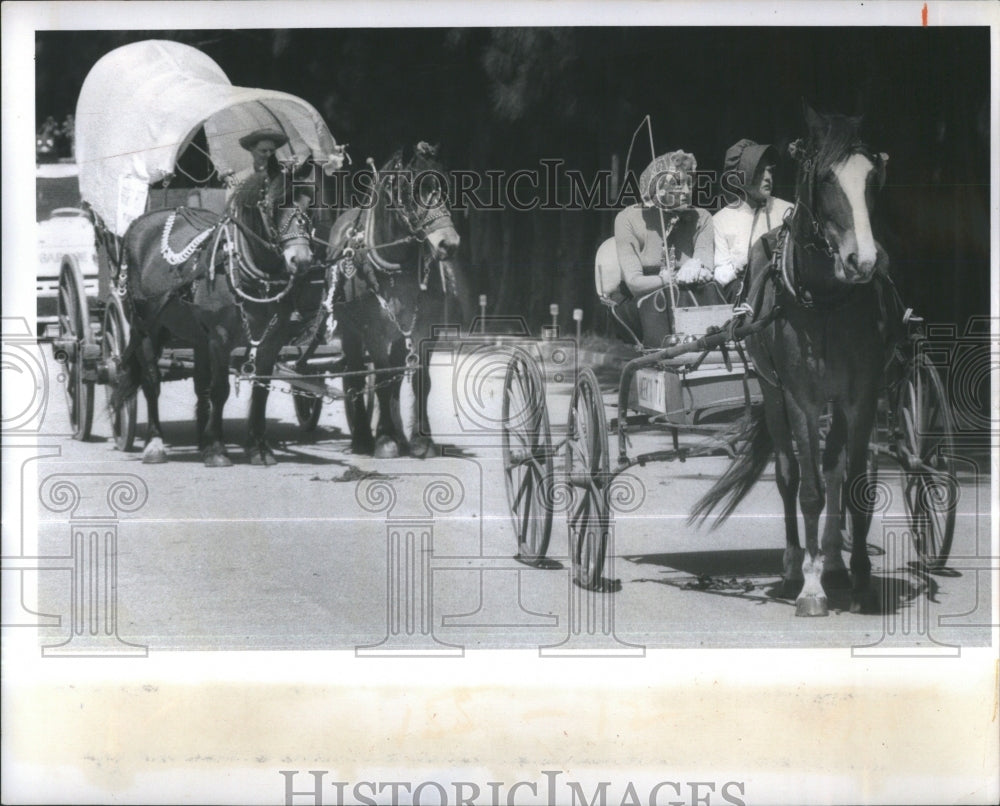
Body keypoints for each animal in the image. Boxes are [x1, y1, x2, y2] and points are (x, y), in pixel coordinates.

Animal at [110, 174, 314, 470]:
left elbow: (260, 390)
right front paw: (218, 449)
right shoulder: (220, 338)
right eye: (273, 205)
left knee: (199, 385)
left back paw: (201, 442)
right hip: (146, 328)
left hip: (196, 336)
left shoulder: (272, 341)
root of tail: (139, 223)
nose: (302, 259)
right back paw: (155, 443)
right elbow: (220, 390)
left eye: (311, 204)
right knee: (151, 381)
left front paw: (259, 448)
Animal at [332, 144, 464, 458]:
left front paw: (421, 441)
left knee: (395, 375)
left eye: (444, 188)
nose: (449, 243)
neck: (397, 268)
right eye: (411, 191)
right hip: (351, 331)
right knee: (356, 374)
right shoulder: (374, 333)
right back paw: (364, 437)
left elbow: (420, 381)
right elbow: (379, 380)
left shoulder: (424, 331)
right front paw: (384, 440)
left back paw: (400, 435)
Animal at [696, 104, 892, 616]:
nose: (863, 262)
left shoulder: (862, 395)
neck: (824, 300)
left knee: (834, 466)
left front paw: (860, 578)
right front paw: (811, 588)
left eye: (872, 178)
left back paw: (835, 564)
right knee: (789, 475)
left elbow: (853, 483)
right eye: (824, 179)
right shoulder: (801, 398)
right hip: (772, 391)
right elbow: (808, 491)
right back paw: (792, 570)